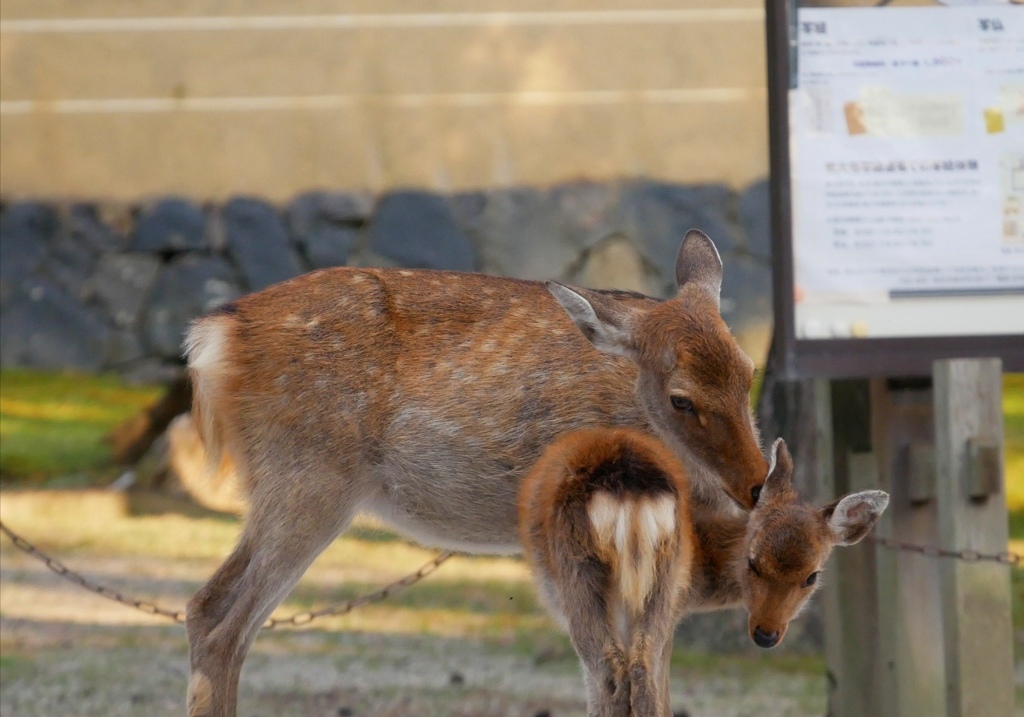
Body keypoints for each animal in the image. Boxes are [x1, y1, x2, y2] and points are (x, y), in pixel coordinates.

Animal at [182, 228, 770, 712]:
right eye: (680, 399)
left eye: (749, 372)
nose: (757, 483)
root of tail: (212, 336)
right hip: (307, 475)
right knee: (221, 620)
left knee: (212, 609)